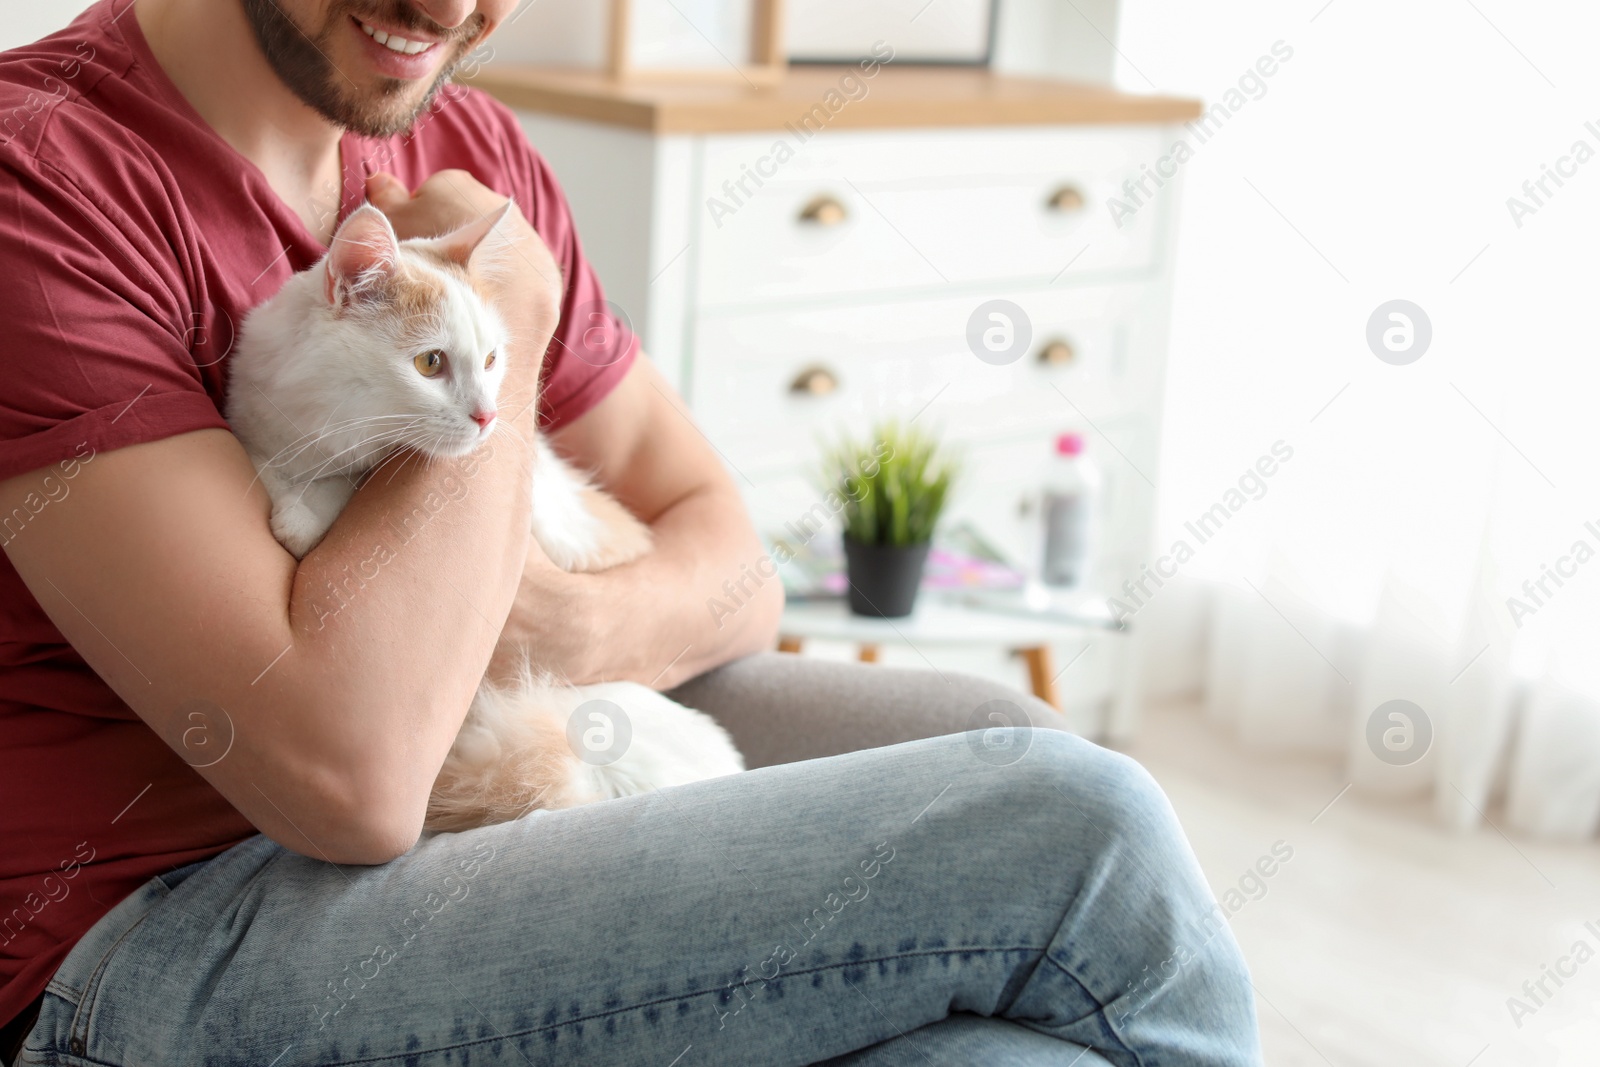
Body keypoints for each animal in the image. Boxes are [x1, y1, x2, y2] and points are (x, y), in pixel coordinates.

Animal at [225, 199, 742, 831]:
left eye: (493, 360)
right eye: (430, 363)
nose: (489, 416)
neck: (312, 423)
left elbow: (341, 489)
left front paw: (305, 515)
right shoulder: (256, 419)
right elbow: (264, 462)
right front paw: (289, 490)